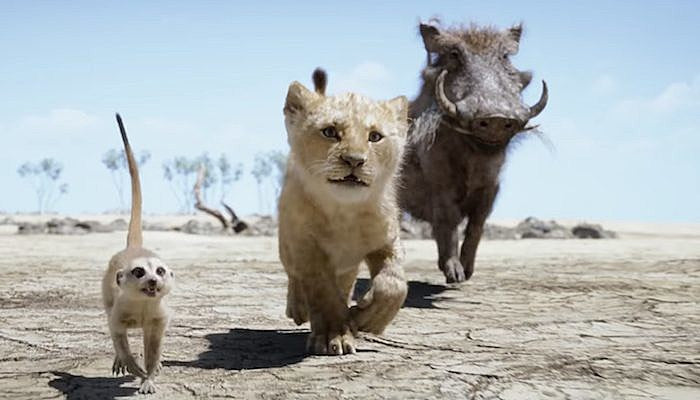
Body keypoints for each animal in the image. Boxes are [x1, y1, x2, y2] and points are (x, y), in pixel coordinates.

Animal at [278, 68, 409, 355]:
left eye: (375, 136)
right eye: (329, 132)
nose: (354, 160)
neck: (345, 212)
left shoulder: (387, 239)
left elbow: (394, 284)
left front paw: (368, 319)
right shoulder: (307, 246)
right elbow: (322, 291)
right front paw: (333, 335)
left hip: (348, 266)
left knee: (346, 283)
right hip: (286, 243)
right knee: (294, 275)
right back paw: (299, 308)